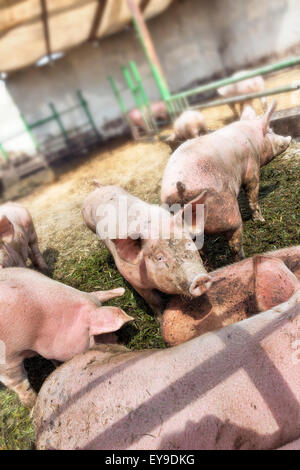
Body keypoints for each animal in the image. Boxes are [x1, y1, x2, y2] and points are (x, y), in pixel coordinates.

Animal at [82, 183, 212, 316]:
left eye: (189, 244)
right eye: (159, 257)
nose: (200, 278)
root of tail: (97, 188)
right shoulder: (134, 280)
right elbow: (155, 301)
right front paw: (160, 318)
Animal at [161, 101, 292, 260]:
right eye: (270, 130)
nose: (290, 138)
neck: (253, 140)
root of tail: (180, 187)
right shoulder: (252, 167)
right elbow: (252, 195)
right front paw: (261, 220)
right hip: (227, 212)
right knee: (235, 242)